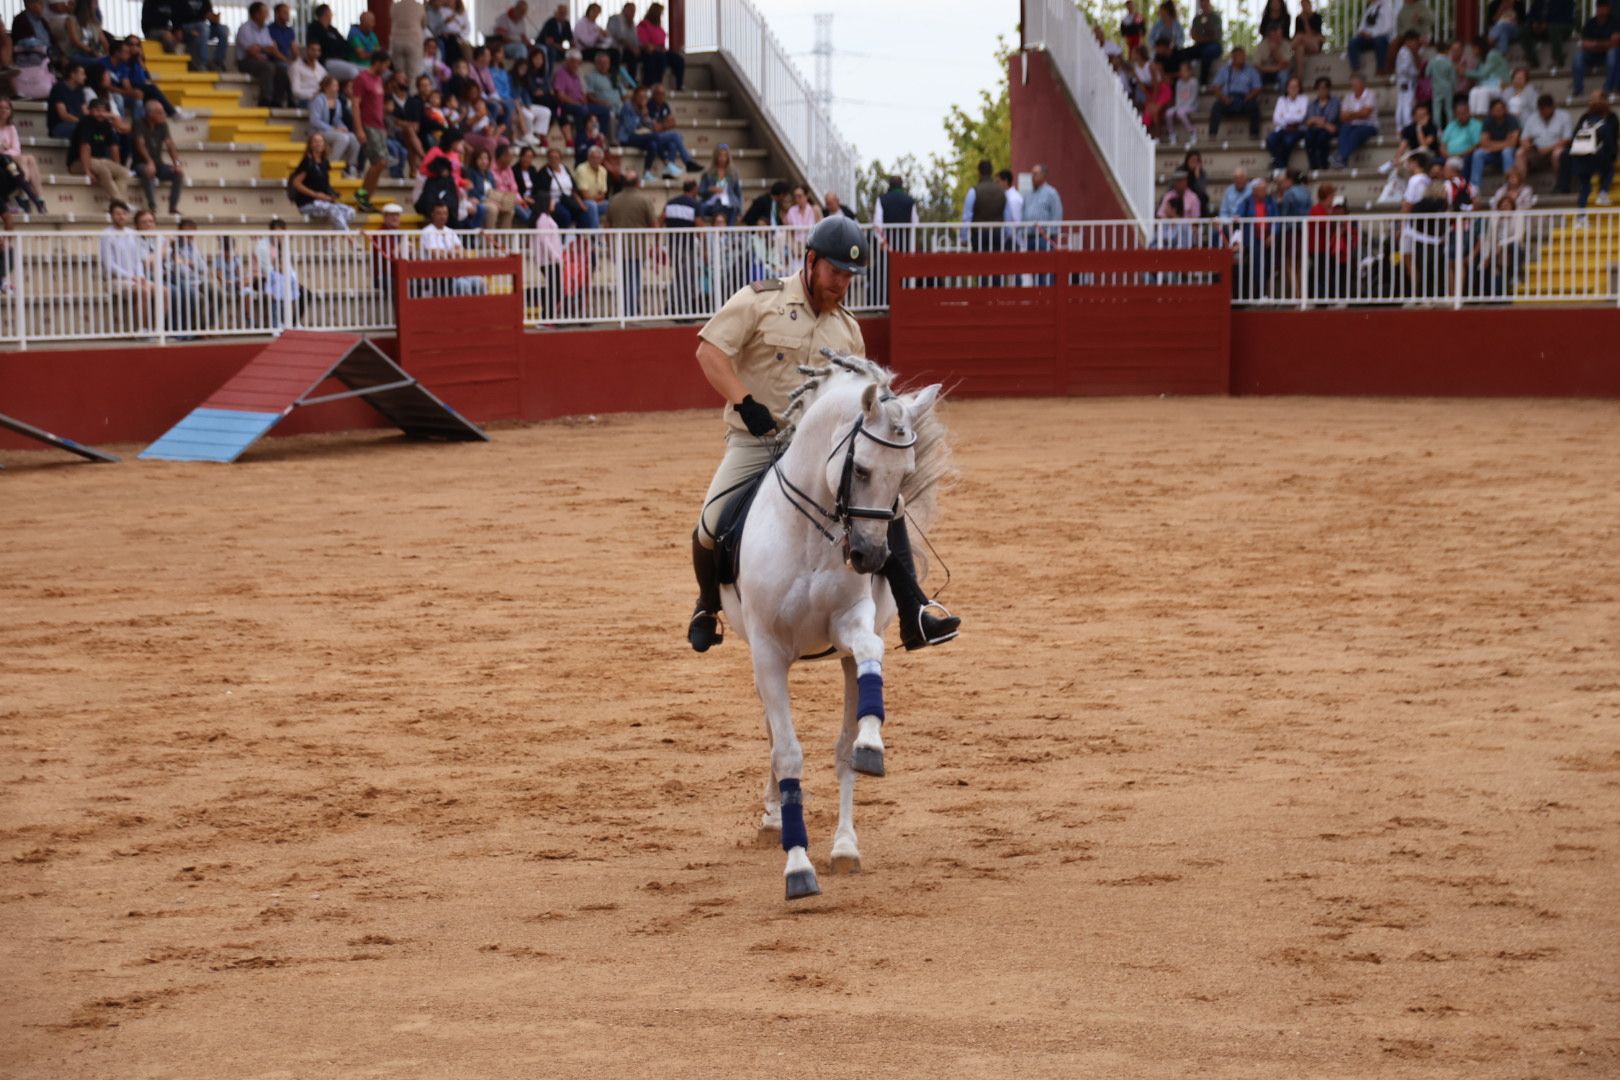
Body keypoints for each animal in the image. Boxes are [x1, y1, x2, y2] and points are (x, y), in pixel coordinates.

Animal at [719, 351, 946, 900]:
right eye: (860, 468)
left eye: (905, 474)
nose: (870, 557)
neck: (812, 533)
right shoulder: (768, 652)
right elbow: (788, 754)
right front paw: (798, 866)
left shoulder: (851, 629)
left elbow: (867, 666)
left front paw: (871, 747)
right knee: (773, 736)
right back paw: (774, 819)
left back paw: (843, 844)